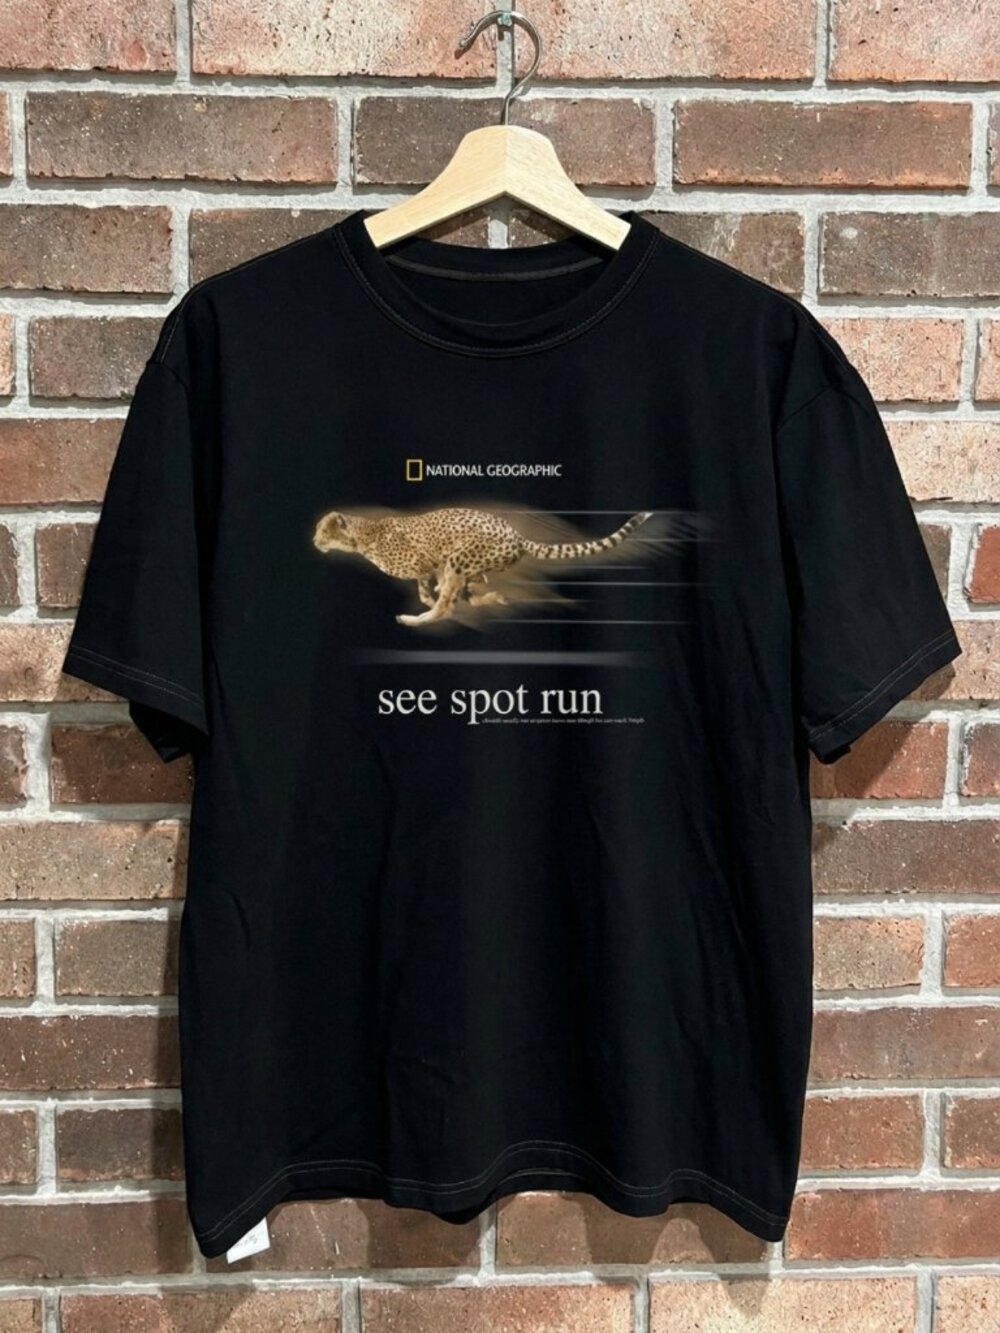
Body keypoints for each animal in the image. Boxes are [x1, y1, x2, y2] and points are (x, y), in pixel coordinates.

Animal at [312, 505, 653, 627]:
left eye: (323, 531)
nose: (314, 542)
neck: (362, 536)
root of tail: (516, 534)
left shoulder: (431, 562)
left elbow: (433, 590)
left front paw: (429, 602)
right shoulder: (433, 566)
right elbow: (425, 587)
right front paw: (429, 596)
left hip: (461, 559)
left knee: (449, 606)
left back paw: (414, 619)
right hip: (471, 564)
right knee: (473, 592)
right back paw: (494, 597)